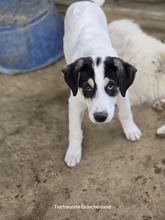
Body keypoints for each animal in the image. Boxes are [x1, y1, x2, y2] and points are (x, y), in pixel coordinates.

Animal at [61, 0, 141, 167]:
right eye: (87, 87)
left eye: (110, 85)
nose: (100, 117)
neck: (95, 51)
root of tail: (85, 2)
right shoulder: (74, 102)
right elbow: (75, 130)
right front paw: (73, 152)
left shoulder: (122, 92)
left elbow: (126, 113)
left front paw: (131, 130)